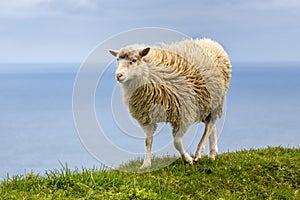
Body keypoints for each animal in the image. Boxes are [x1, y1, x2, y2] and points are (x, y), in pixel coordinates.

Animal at [109, 38, 231, 169]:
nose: (118, 75)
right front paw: (146, 164)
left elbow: (176, 142)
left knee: (209, 125)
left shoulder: (185, 113)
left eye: (134, 60)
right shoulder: (147, 118)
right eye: (117, 60)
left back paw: (199, 152)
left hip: (216, 99)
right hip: (207, 102)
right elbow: (148, 141)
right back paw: (212, 154)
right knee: (211, 125)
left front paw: (188, 159)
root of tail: (212, 42)